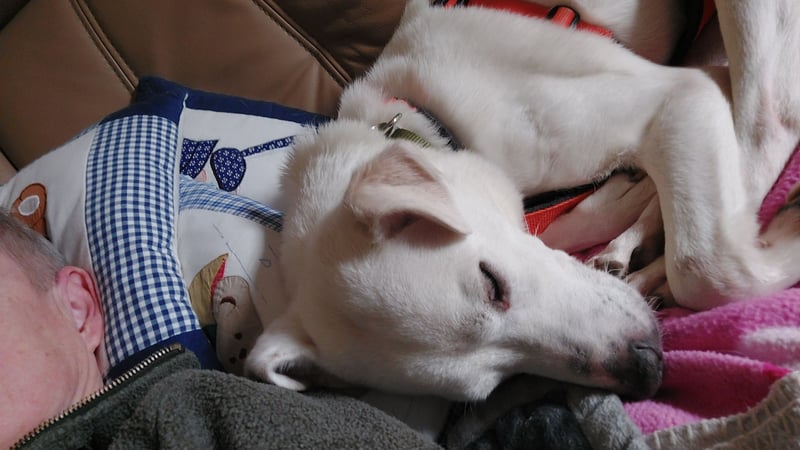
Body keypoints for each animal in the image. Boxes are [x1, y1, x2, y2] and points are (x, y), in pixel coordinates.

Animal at [246, 0, 800, 413]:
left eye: (492, 283)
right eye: (492, 383)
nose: (647, 369)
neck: (423, 119)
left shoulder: (679, 95)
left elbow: (705, 268)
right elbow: (576, 224)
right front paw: (628, 216)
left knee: (767, 122)